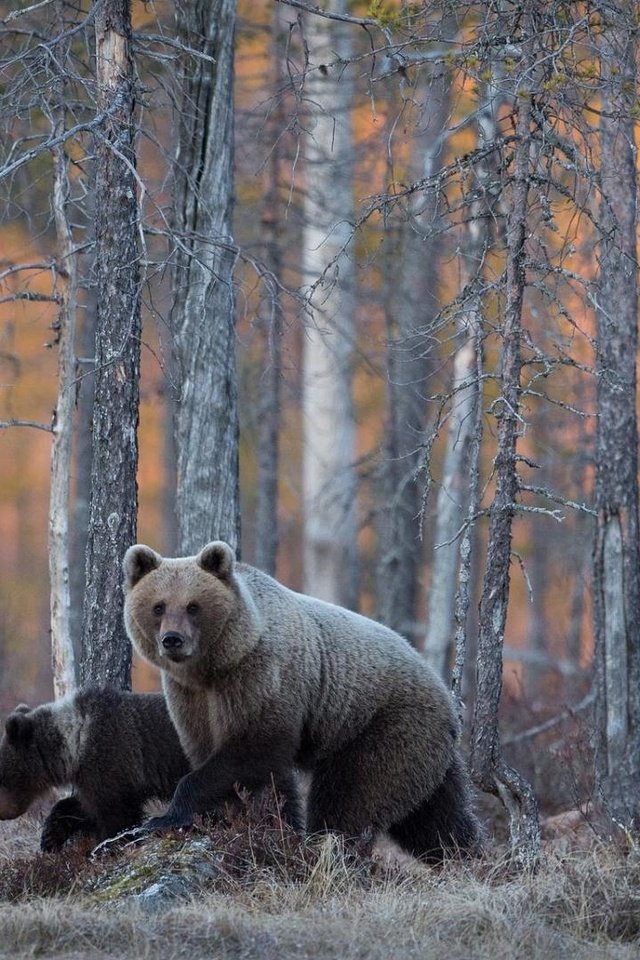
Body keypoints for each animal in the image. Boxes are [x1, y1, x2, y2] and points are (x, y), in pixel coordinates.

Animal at [0, 688, 190, 852]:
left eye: (2, 779)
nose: (2, 814)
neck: (74, 746)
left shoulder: (110, 759)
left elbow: (115, 815)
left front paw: (109, 845)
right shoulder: (89, 776)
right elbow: (82, 807)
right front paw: (50, 838)